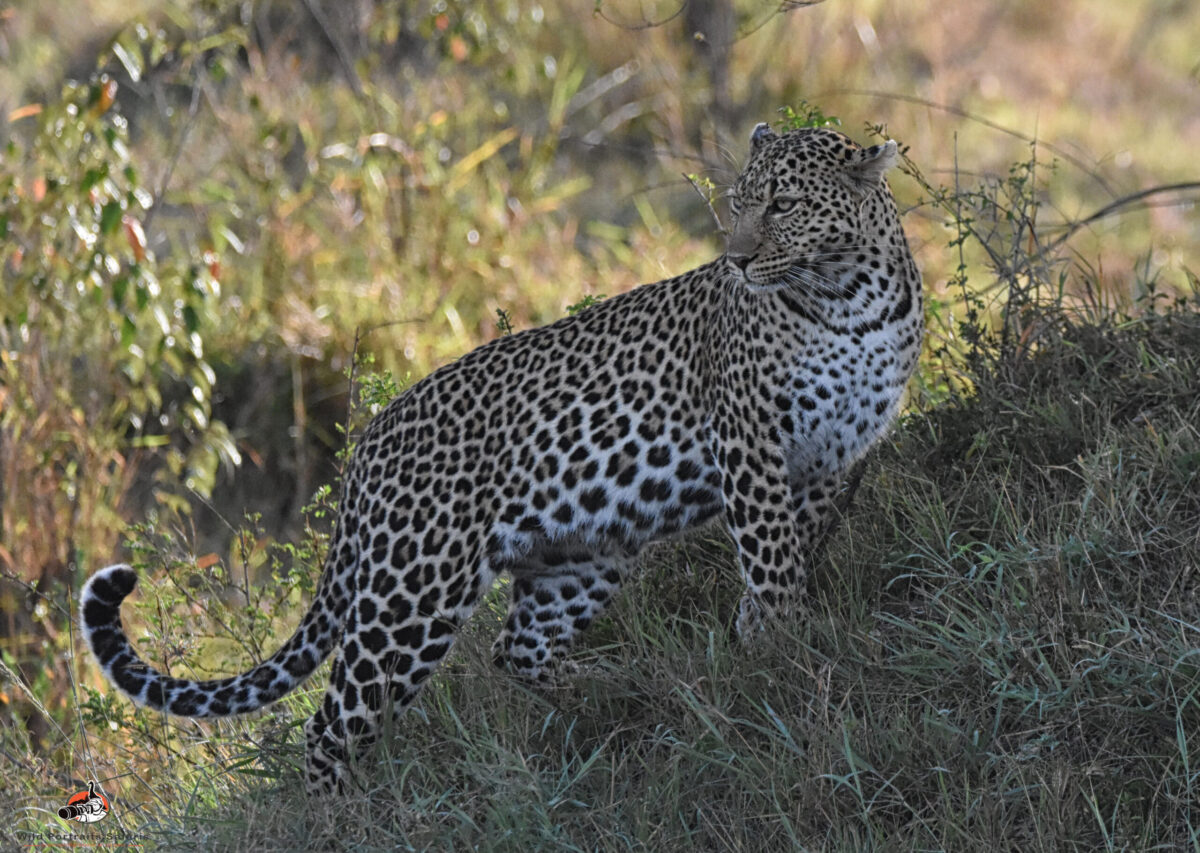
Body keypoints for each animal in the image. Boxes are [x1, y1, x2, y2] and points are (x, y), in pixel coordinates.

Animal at [82, 123, 916, 796]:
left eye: (783, 205)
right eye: (739, 202)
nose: (736, 260)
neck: (848, 297)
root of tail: (367, 446)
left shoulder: (831, 456)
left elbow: (794, 551)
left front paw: (769, 637)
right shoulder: (748, 440)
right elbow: (772, 560)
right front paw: (781, 657)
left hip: (580, 551)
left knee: (516, 651)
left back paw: (617, 685)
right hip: (411, 590)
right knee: (332, 725)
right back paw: (338, 817)